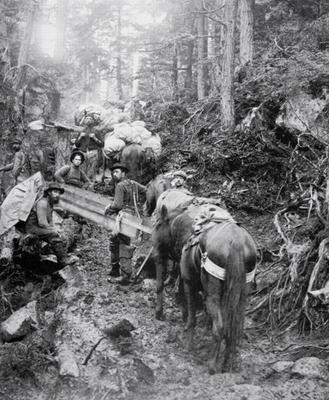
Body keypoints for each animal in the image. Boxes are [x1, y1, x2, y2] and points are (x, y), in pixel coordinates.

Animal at [151, 205, 256, 374]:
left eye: (158, 225)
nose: (155, 253)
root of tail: (236, 242)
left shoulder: (189, 284)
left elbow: (191, 316)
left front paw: (188, 345)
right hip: (239, 297)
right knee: (232, 328)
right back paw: (227, 364)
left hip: (211, 295)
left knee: (219, 327)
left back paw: (212, 365)